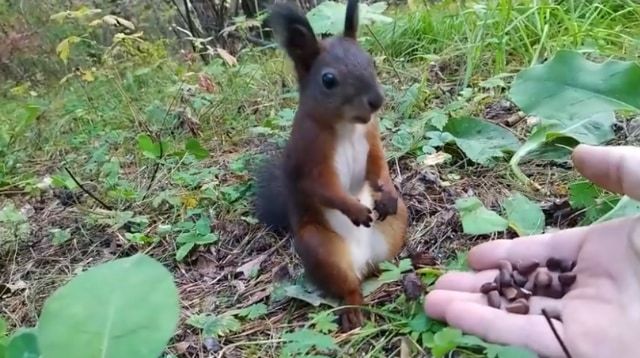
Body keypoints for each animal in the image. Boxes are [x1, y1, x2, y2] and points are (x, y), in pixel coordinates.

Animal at [254, 0, 408, 332]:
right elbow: (322, 188)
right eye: (328, 80)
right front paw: (354, 209)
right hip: (319, 247)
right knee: (348, 287)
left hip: (396, 225)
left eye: (370, 61)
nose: (376, 100)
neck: (347, 125)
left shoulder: (371, 138)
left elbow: (379, 165)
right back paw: (352, 310)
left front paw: (387, 192)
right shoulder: (308, 157)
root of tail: (362, 261)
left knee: (382, 264)